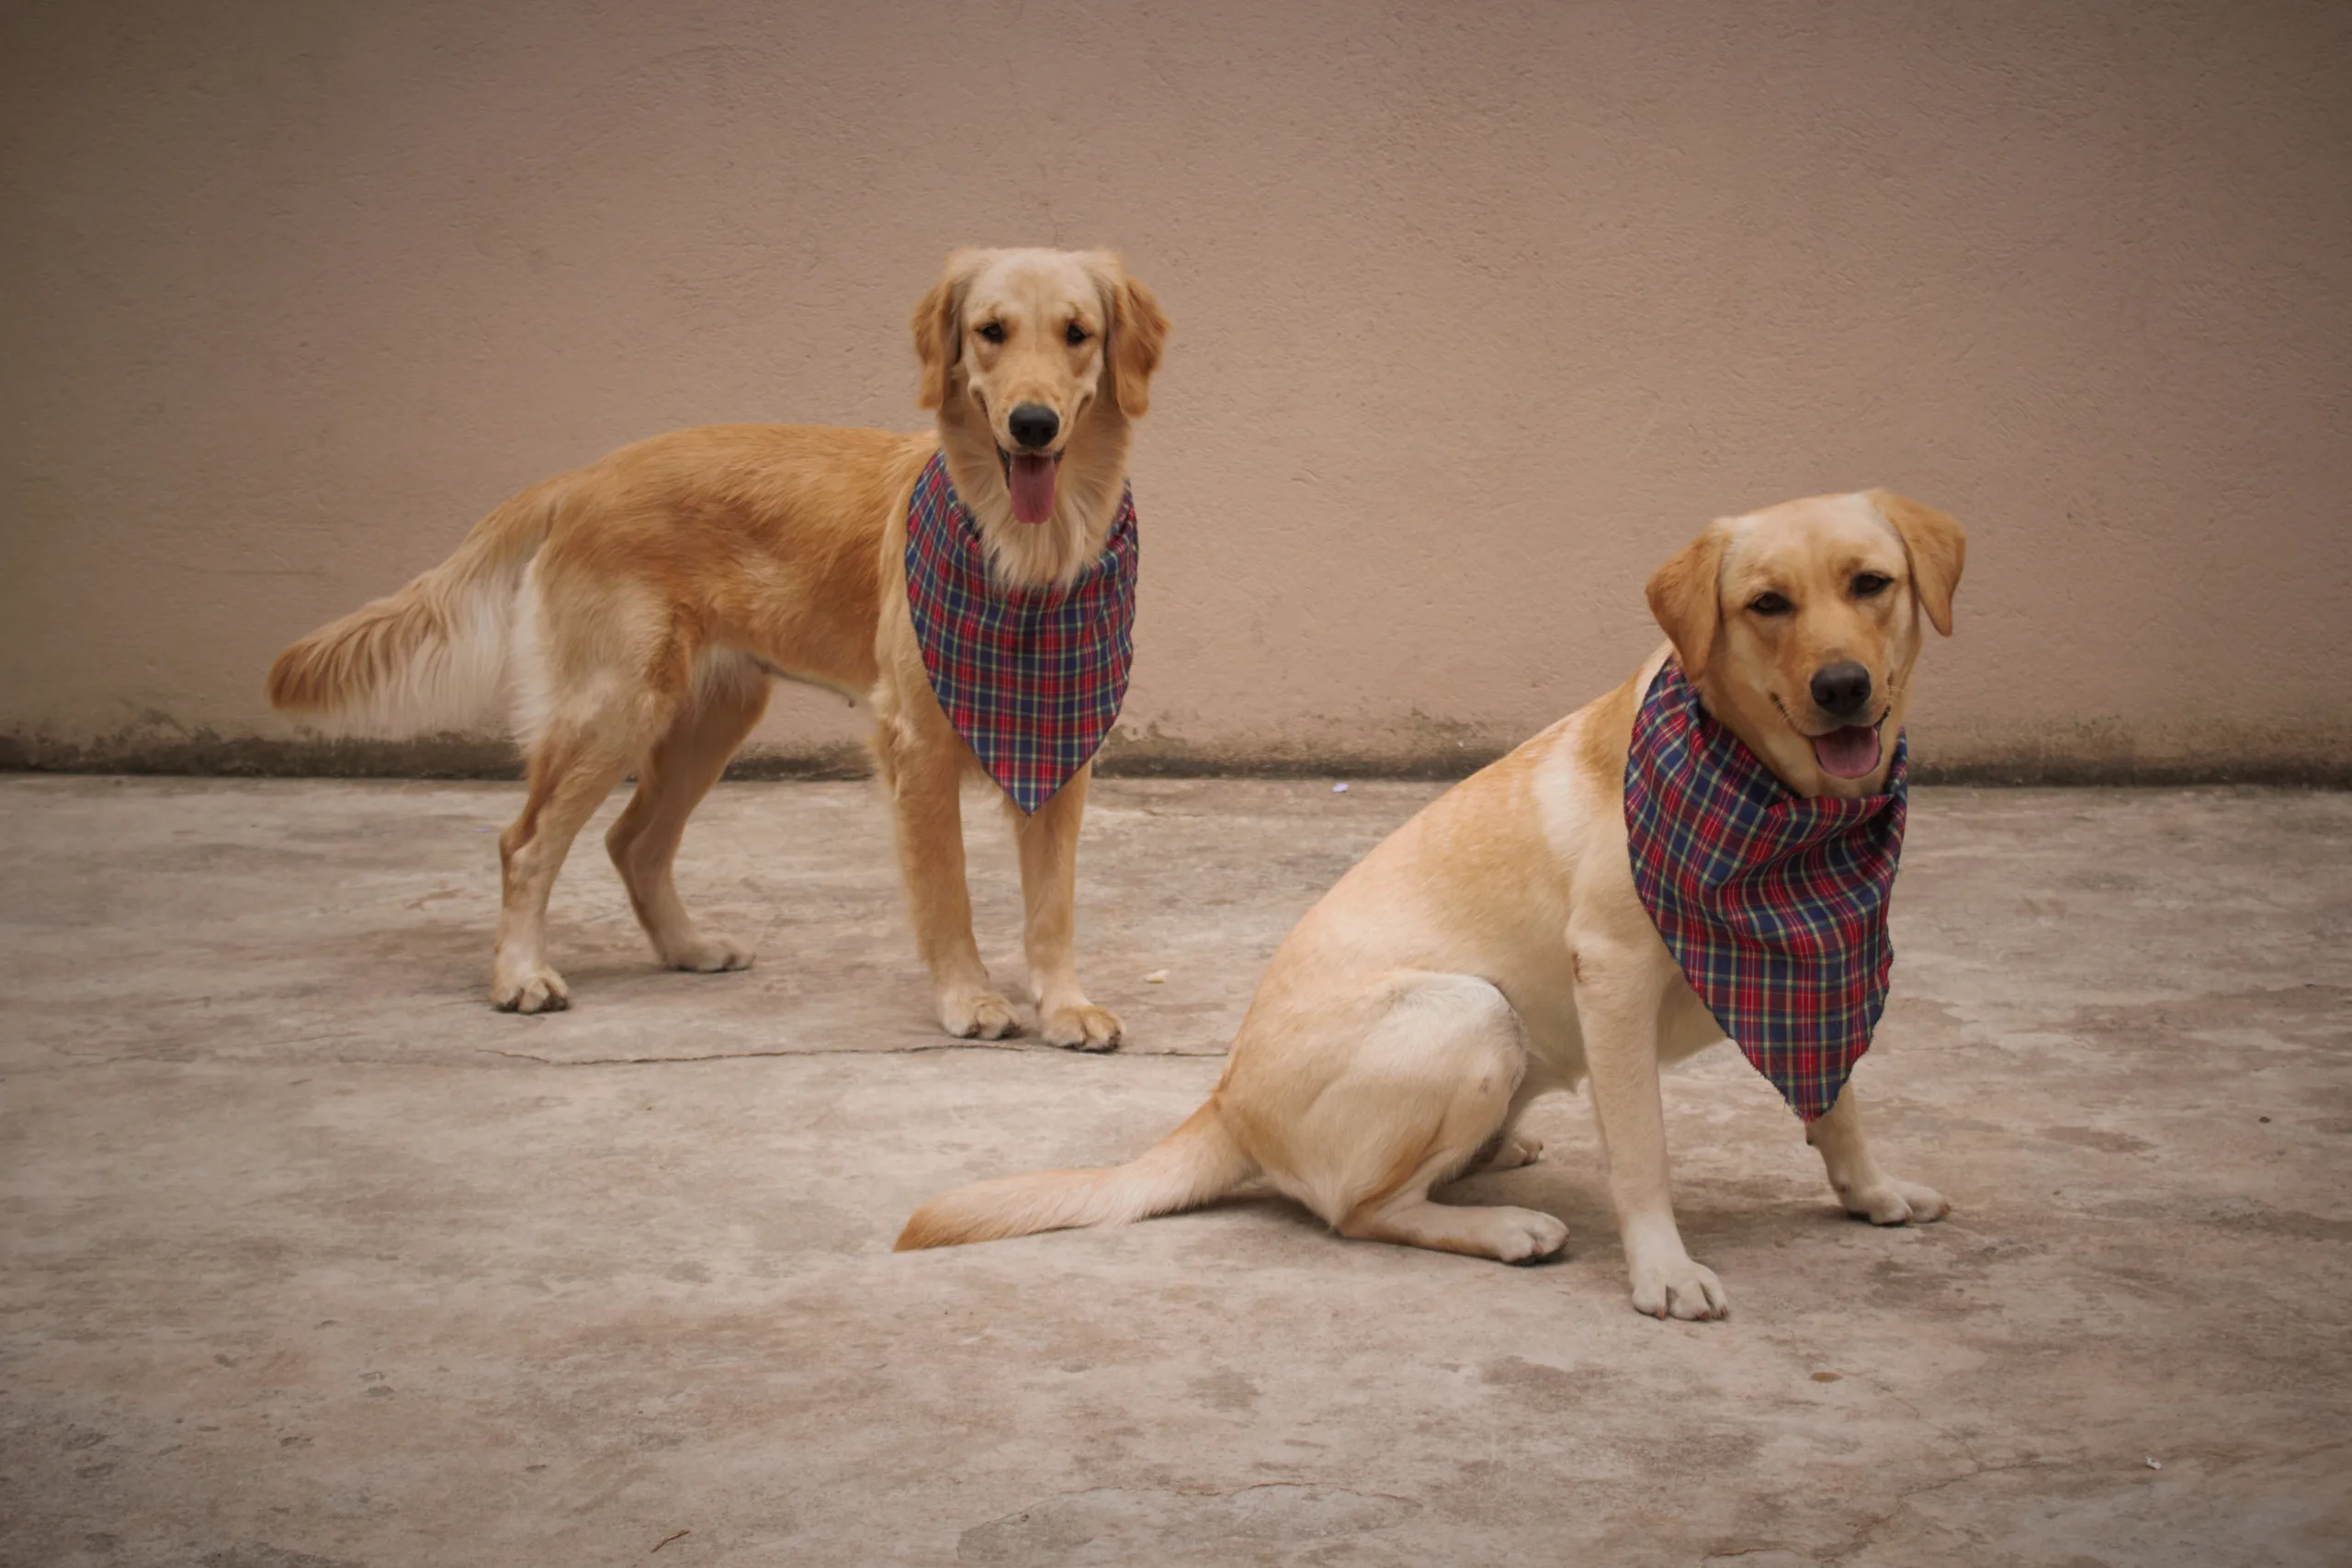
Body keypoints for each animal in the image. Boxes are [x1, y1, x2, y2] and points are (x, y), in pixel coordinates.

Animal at [270, 251, 1170, 1048]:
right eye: (990, 331)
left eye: (1077, 333)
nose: (1033, 424)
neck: (1030, 558)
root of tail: (582, 476)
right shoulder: (916, 745)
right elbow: (947, 892)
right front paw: (970, 998)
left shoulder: (1062, 745)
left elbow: (1052, 906)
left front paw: (1065, 1005)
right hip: (615, 707)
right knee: (524, 844)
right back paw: (520, 975)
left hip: (711, 715)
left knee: (632, 841)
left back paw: (688, 947)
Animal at [898, 484, 1966, 1316]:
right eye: (1766, 604)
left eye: (1871, 584)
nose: (1843, 686)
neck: (1787, 818)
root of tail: (1226, 1101)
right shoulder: (1613, 975)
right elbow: (1642, 1151)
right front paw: (1662, 1270)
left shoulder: (1821, 965)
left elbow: (1839, 1102)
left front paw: (1872, 1194)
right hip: (1471, 1011)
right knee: (1360, 1212)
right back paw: (1501, 1227)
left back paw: (1495, 1157)